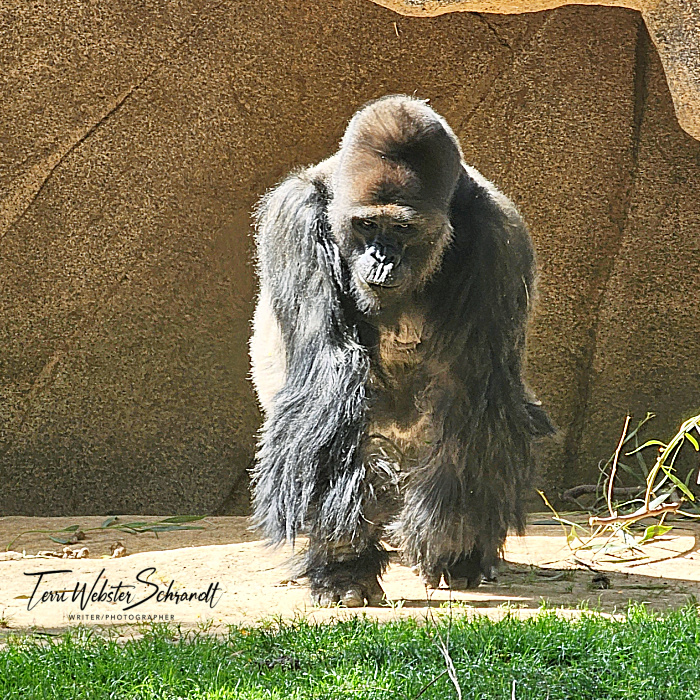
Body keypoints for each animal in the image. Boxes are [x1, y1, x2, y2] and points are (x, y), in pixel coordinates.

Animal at [249, 95, 553, 607]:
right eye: (367, 224)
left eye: (403, 229)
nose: (381, 259)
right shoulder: (295, 219)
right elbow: (331, 379)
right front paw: (344, 565)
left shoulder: (498, 236)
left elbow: (470, 391)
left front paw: (452, 544)